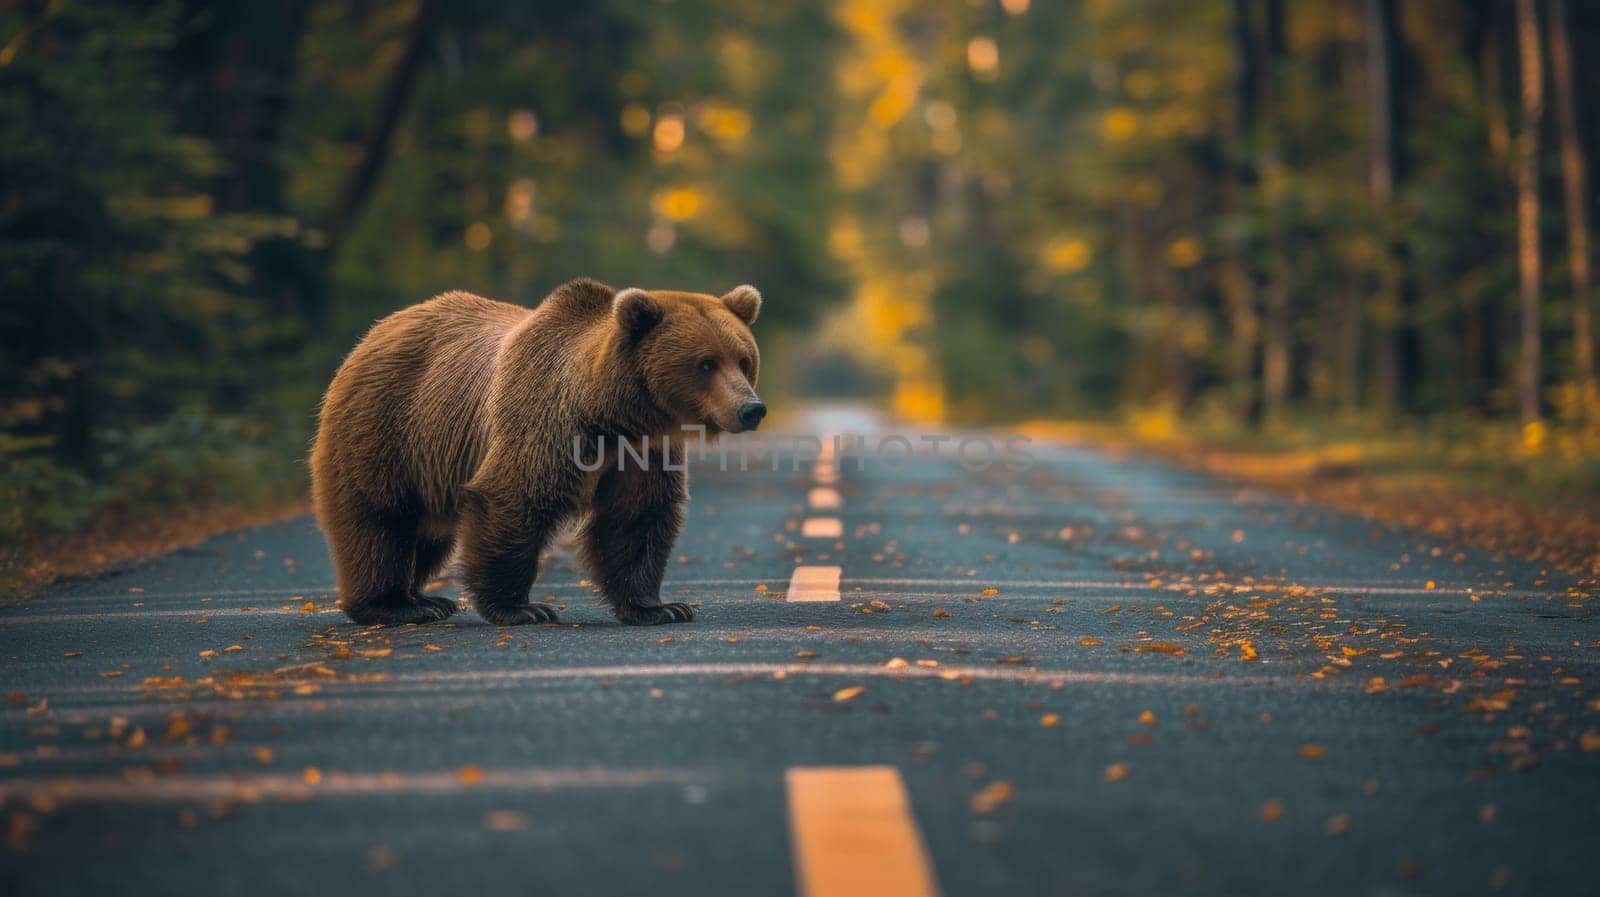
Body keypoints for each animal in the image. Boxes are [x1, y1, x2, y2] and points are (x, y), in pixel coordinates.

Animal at [312, 278, 768, 623]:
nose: (751, 409)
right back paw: (391, 605)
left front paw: (660, 607)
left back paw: (424, 599)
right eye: (706, 363)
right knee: (380, 520)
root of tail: (374, 333)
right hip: (389, 426)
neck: (609, 414)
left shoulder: (643, 452)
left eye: (743, 359)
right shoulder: (545, 421)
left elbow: (636, 518)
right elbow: (515, 497)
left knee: (428, 532)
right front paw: (521, 608)